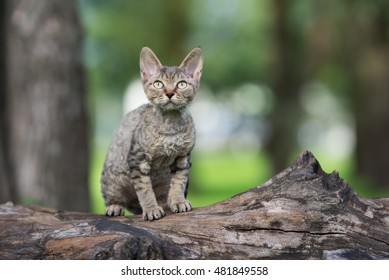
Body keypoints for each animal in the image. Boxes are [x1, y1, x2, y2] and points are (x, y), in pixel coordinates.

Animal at [100, 46, 203, 221]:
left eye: (182, 84)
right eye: (158, 84)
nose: (169, 93)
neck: (169, 125)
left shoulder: (183, 158)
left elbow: (179, 182)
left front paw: (178, 201)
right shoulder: (137, 159)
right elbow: (145, 189)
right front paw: (151, 209)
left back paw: (165, 204)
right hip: (111, 177)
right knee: (115, 197)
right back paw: (115, 206)